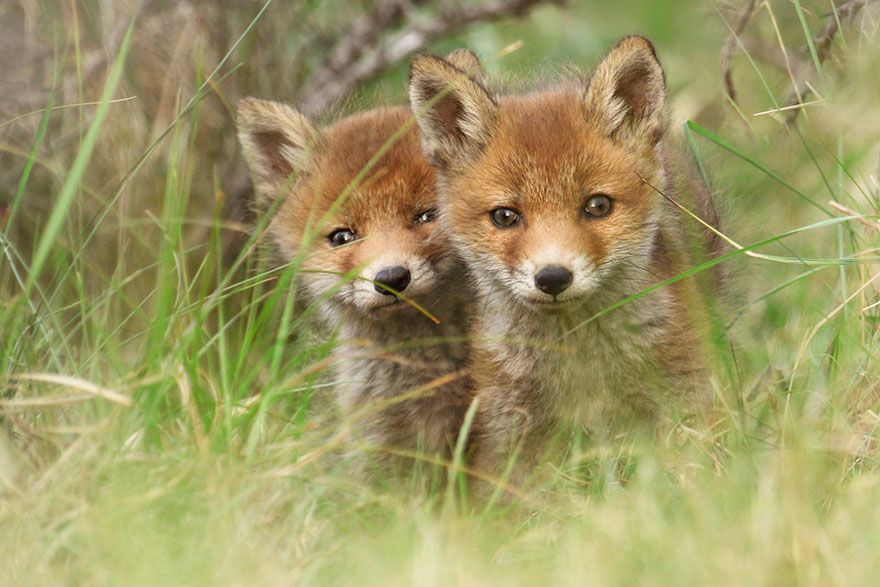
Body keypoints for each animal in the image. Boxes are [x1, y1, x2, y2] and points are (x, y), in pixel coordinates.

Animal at [408, 37, 718, 487]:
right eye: (505, 216)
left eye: (598, 206)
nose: (553, 277)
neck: (578, 357)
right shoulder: (506, 431)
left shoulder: (686, 389)